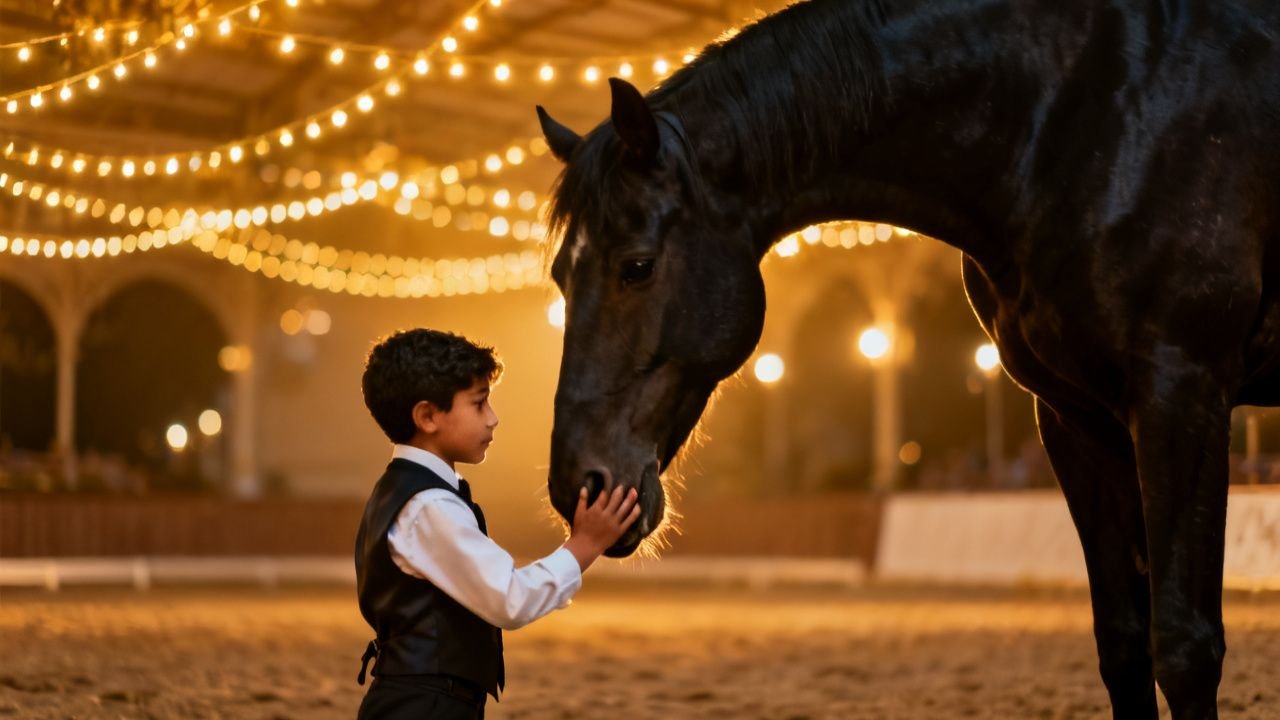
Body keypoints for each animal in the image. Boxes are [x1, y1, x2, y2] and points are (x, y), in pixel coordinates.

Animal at [534, 0, 1280, 717]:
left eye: (636, 266)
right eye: (559, 277)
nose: (578, 485)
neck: (1083, 113)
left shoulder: (1180, 393)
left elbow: (1184, 649)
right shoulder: (1077, 419)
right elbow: (1122, 644)